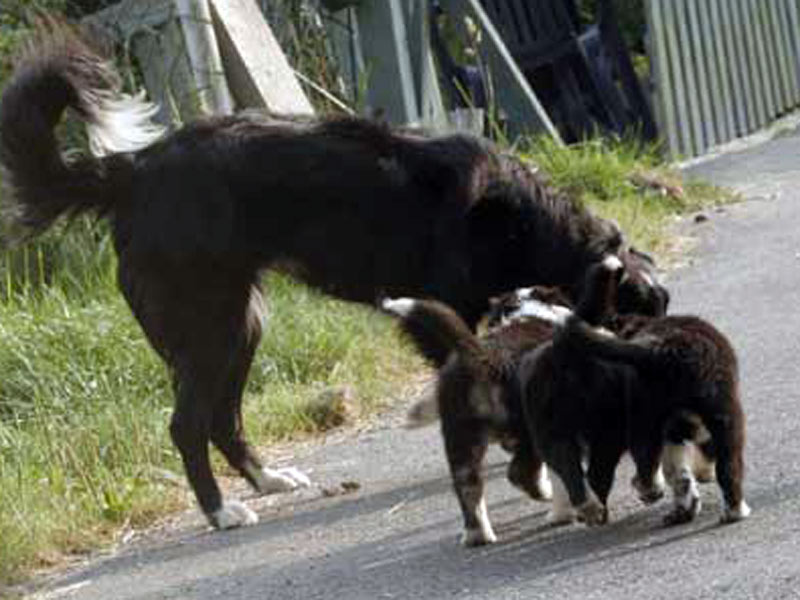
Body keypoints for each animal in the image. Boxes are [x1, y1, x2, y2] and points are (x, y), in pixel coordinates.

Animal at [0, 21, 664, 528]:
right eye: (626, 318)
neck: (525, 223)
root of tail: (133, 169)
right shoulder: (442, 310)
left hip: (241, 325)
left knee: (221, 418)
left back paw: (267, 481)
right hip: (212, 325)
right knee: (187, 424)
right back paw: (222, 513)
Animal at [520, 255, 752, 528]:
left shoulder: (670, 430)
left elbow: (676, 470)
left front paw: (684, 504)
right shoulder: (671, 429)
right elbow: (676, 468)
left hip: (573, 431)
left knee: (578, 471)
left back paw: (596, 509)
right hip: (692, 417)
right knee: (724, 466)